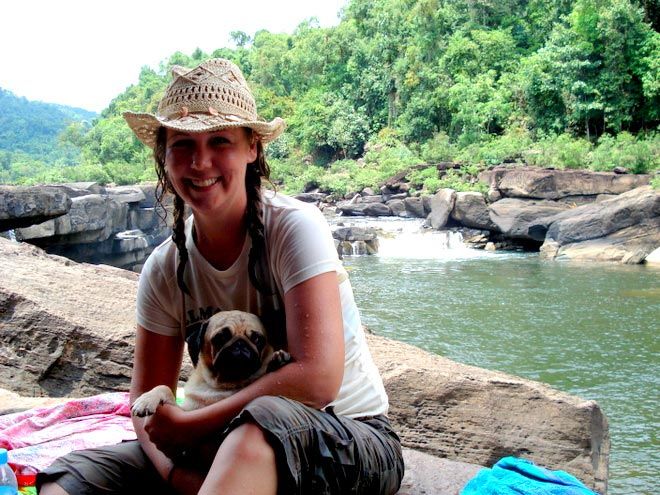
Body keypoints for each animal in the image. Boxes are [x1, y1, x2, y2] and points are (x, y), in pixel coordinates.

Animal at [131, 312, 288, 416]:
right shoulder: (185, 411)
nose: (240, 344)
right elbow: (163, 388)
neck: (222, 385)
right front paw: (146, 399)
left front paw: (278, 359)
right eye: (221, 337)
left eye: (257, 339)